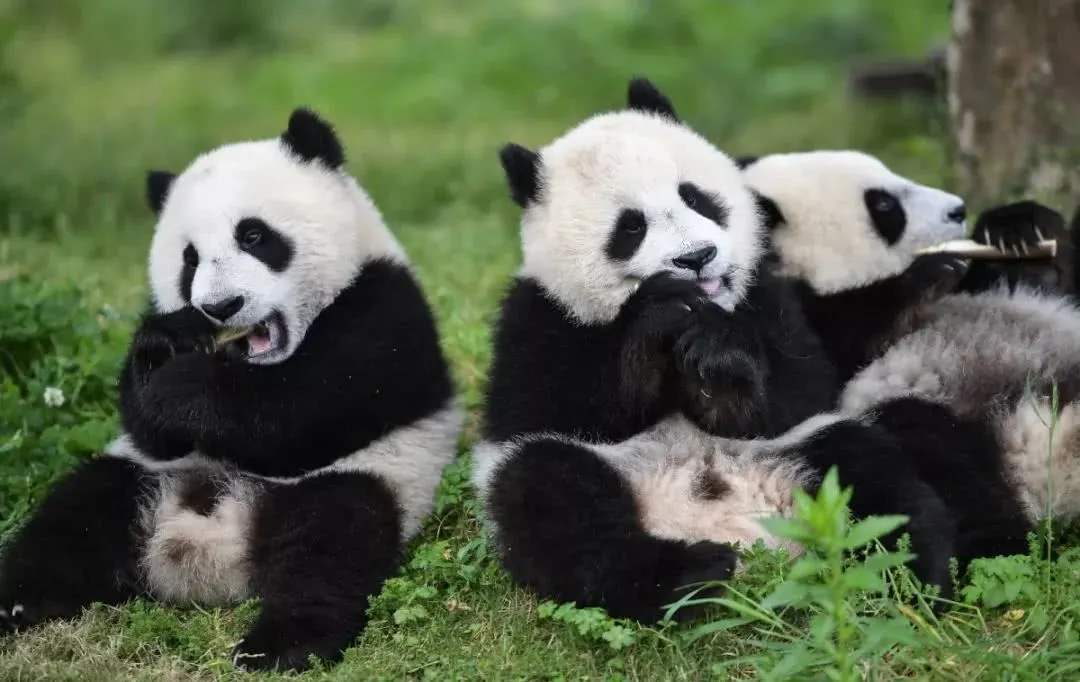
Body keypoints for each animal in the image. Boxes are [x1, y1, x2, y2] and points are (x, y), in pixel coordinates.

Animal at [0, 109, 462, 670]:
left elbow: (301, 414)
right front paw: (164, 349)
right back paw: (18, 603)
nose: (221, 307)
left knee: (331, 546)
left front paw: (180, 385)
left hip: (367, 479)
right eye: (189, 258)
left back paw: (280, 646)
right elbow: (150, 427)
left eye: (254, 235)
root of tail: (206, 547)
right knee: (75, 515)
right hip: (136, 478)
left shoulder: (385, 311)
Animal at [471, 79, 956, 621]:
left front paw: (717, 367)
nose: (697, 257)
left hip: (804, 454)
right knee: (554, 501)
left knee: (872, 476)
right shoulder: (538, 316)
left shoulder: (767, 295)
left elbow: (799, 388)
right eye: (631, 227)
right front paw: (655, 321)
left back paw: (913, 583)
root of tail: (732, 521)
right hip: (593, 475)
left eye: (696, 198)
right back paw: (689, 574)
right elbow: (555, 406)